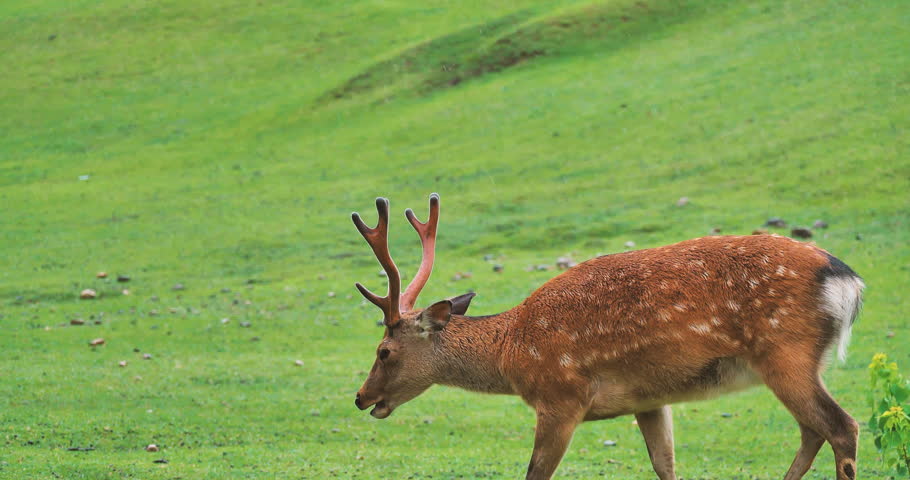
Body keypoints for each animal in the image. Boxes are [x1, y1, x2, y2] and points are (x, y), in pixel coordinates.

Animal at [351, 193, 864, 480]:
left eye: (384, 350)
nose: (360, 397)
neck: (512, 353)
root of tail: (847, 280)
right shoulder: (650, 399)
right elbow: (665, 465)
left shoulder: (561, 397)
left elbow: (535, 473)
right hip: (797, 362)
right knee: (812, 430)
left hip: (785, 352)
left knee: (841, 426)